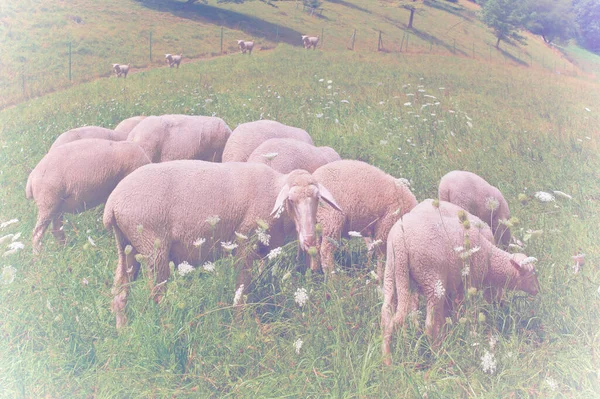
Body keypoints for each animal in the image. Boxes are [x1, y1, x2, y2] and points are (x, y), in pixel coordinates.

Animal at [102, 161, 338, 330]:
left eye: (317, 199)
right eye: (290, 200)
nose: (309, 240)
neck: (273, 193)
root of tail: (112, 204)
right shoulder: (245, 242)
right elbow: (242, 286)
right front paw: (240, 322)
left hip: (128, 246)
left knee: (119, 292)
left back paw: (122, 331)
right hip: (153, 247)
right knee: (157, 296)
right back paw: (165, 326)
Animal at [382, 200, 540, 366]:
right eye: (532, 274)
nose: (537, 290)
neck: (490, 259)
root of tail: (400, 242)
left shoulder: (451, 286)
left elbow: (447, 314)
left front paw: (449, 332)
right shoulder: (467, 284)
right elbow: (463, 313)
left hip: (392, 272)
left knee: (387, 315)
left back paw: (387, 359)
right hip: (431, 277)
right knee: (428, 323)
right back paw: (437, 352)